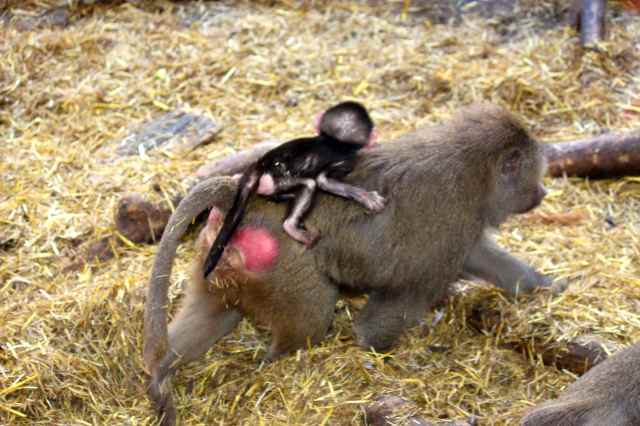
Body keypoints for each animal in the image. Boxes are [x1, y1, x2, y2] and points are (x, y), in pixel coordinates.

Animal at [201, 100, 385, 279]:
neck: (330, 140)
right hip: (279, 178)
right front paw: (366, 197)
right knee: (309, 185)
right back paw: (291, 225)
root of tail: (261, 163)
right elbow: (323, 181)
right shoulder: (345, 160)